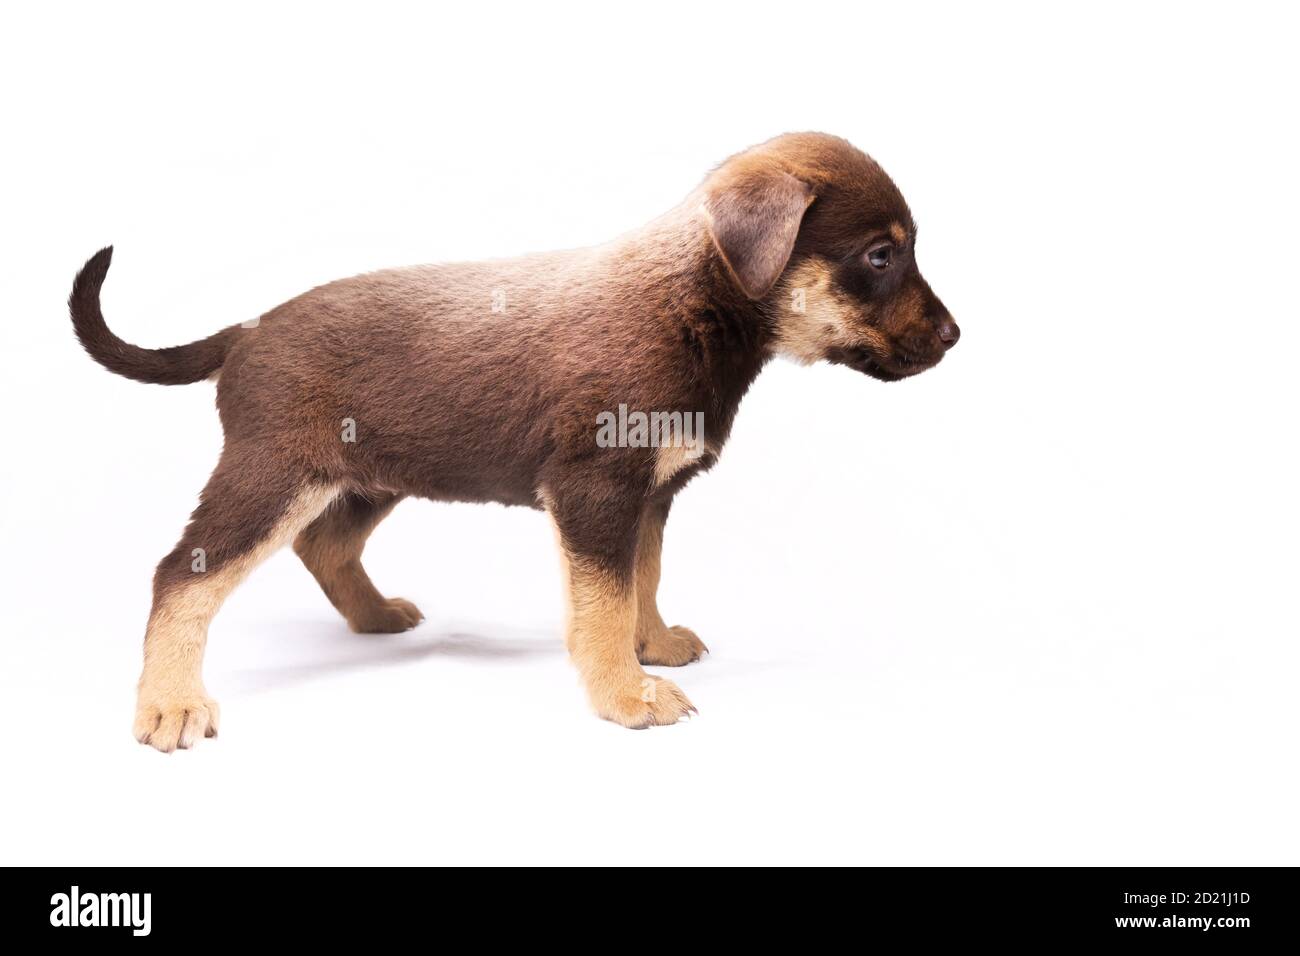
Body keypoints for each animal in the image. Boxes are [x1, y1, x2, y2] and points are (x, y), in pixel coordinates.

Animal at [73, 132, 967, 754]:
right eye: (880, 255)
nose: (956, 337)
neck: (695, 302)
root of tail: (245, 331)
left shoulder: (648, 498)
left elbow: (640, 582)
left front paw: (652, 647)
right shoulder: (597, 493)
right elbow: (602, 602)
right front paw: (625, 694)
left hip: (369, 477)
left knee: (324, 546)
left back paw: (376, 616)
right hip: (273, 476)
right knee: (181, 575)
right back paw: (170, 703)